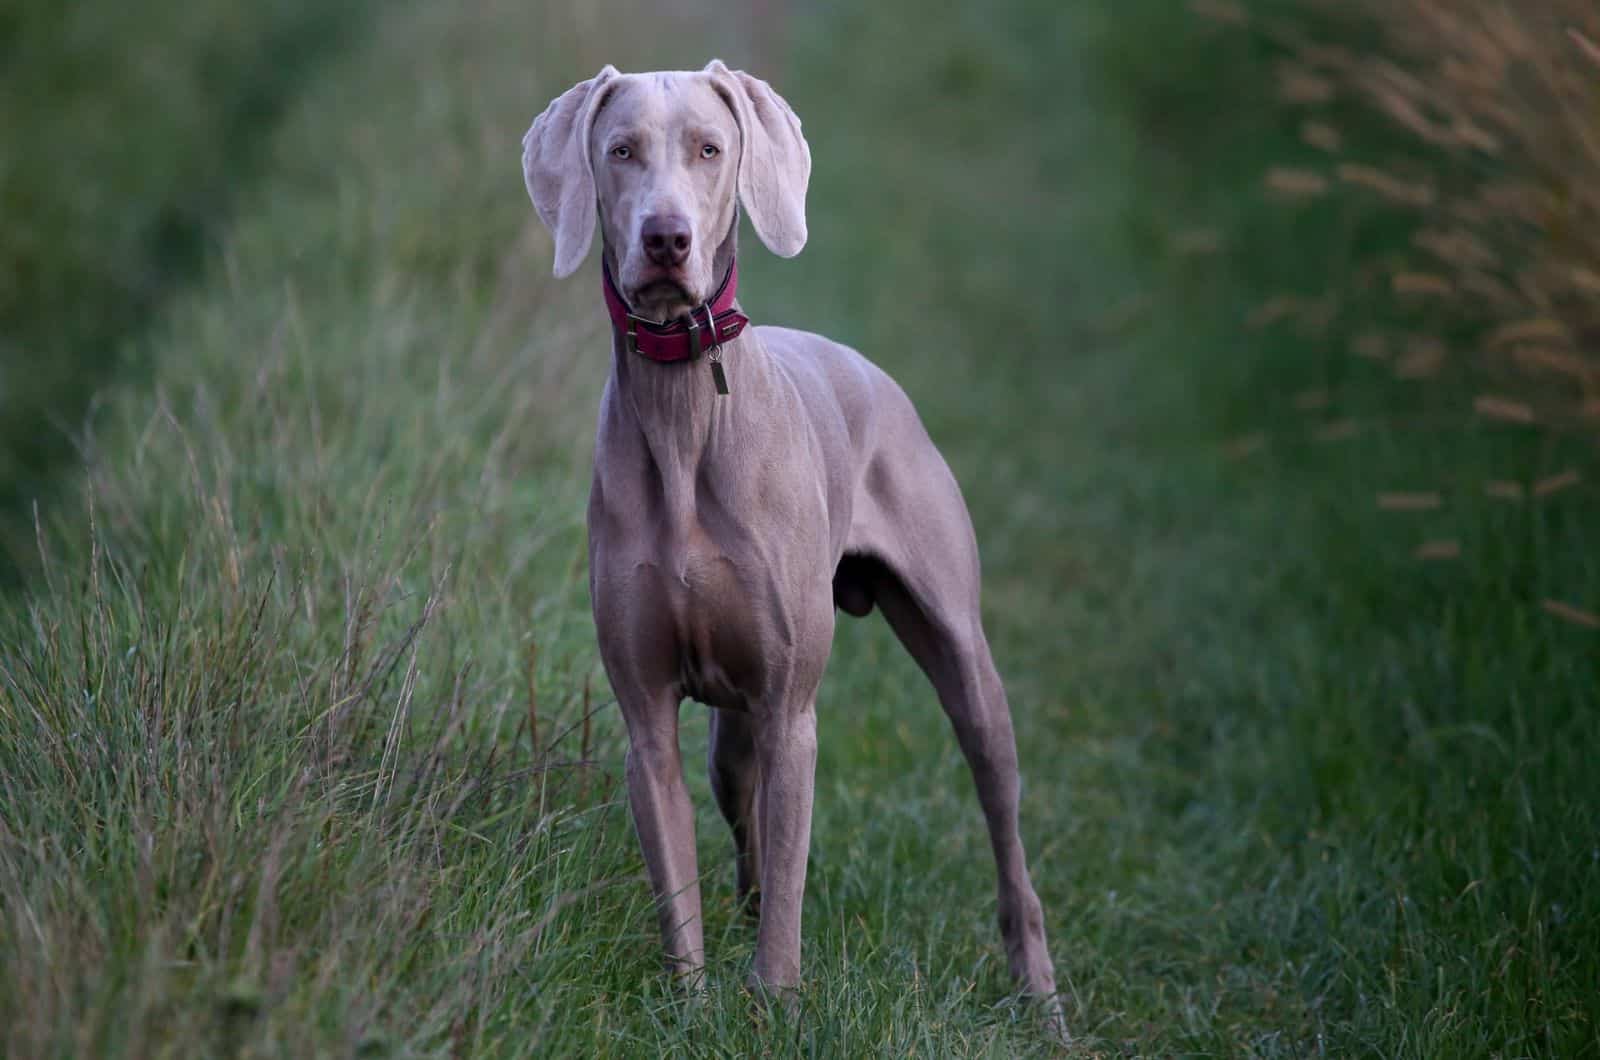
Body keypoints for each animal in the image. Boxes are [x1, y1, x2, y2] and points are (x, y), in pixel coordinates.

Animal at [521, 58, 1062, 1031]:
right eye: (620, 151)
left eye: (709, 149)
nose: (667, 239)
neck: (685, 407)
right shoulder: (648, 720)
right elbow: (680, 878)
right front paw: (693, 1004)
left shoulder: (790, 711)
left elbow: (791, 869)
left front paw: (774, 999)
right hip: (729, 743)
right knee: (746, 831)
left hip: (964, 666)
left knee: (1002, 826)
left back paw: (1038, 993)